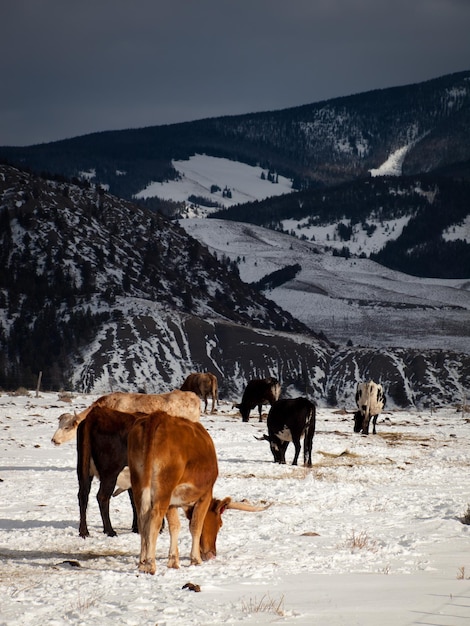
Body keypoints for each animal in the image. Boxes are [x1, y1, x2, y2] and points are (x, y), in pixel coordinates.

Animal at [129, 410, 270, 572]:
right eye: (220, 524)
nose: (212, 554)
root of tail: (159, 416)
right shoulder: (205, 495)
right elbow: (196, 525)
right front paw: (195, 559)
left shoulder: (172, 502)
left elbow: (175, 526)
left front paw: (173, 560)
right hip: (163, 490)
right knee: (154, 520)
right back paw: (150, 564)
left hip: (138, 484)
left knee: (142, 519)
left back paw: (142, 562)